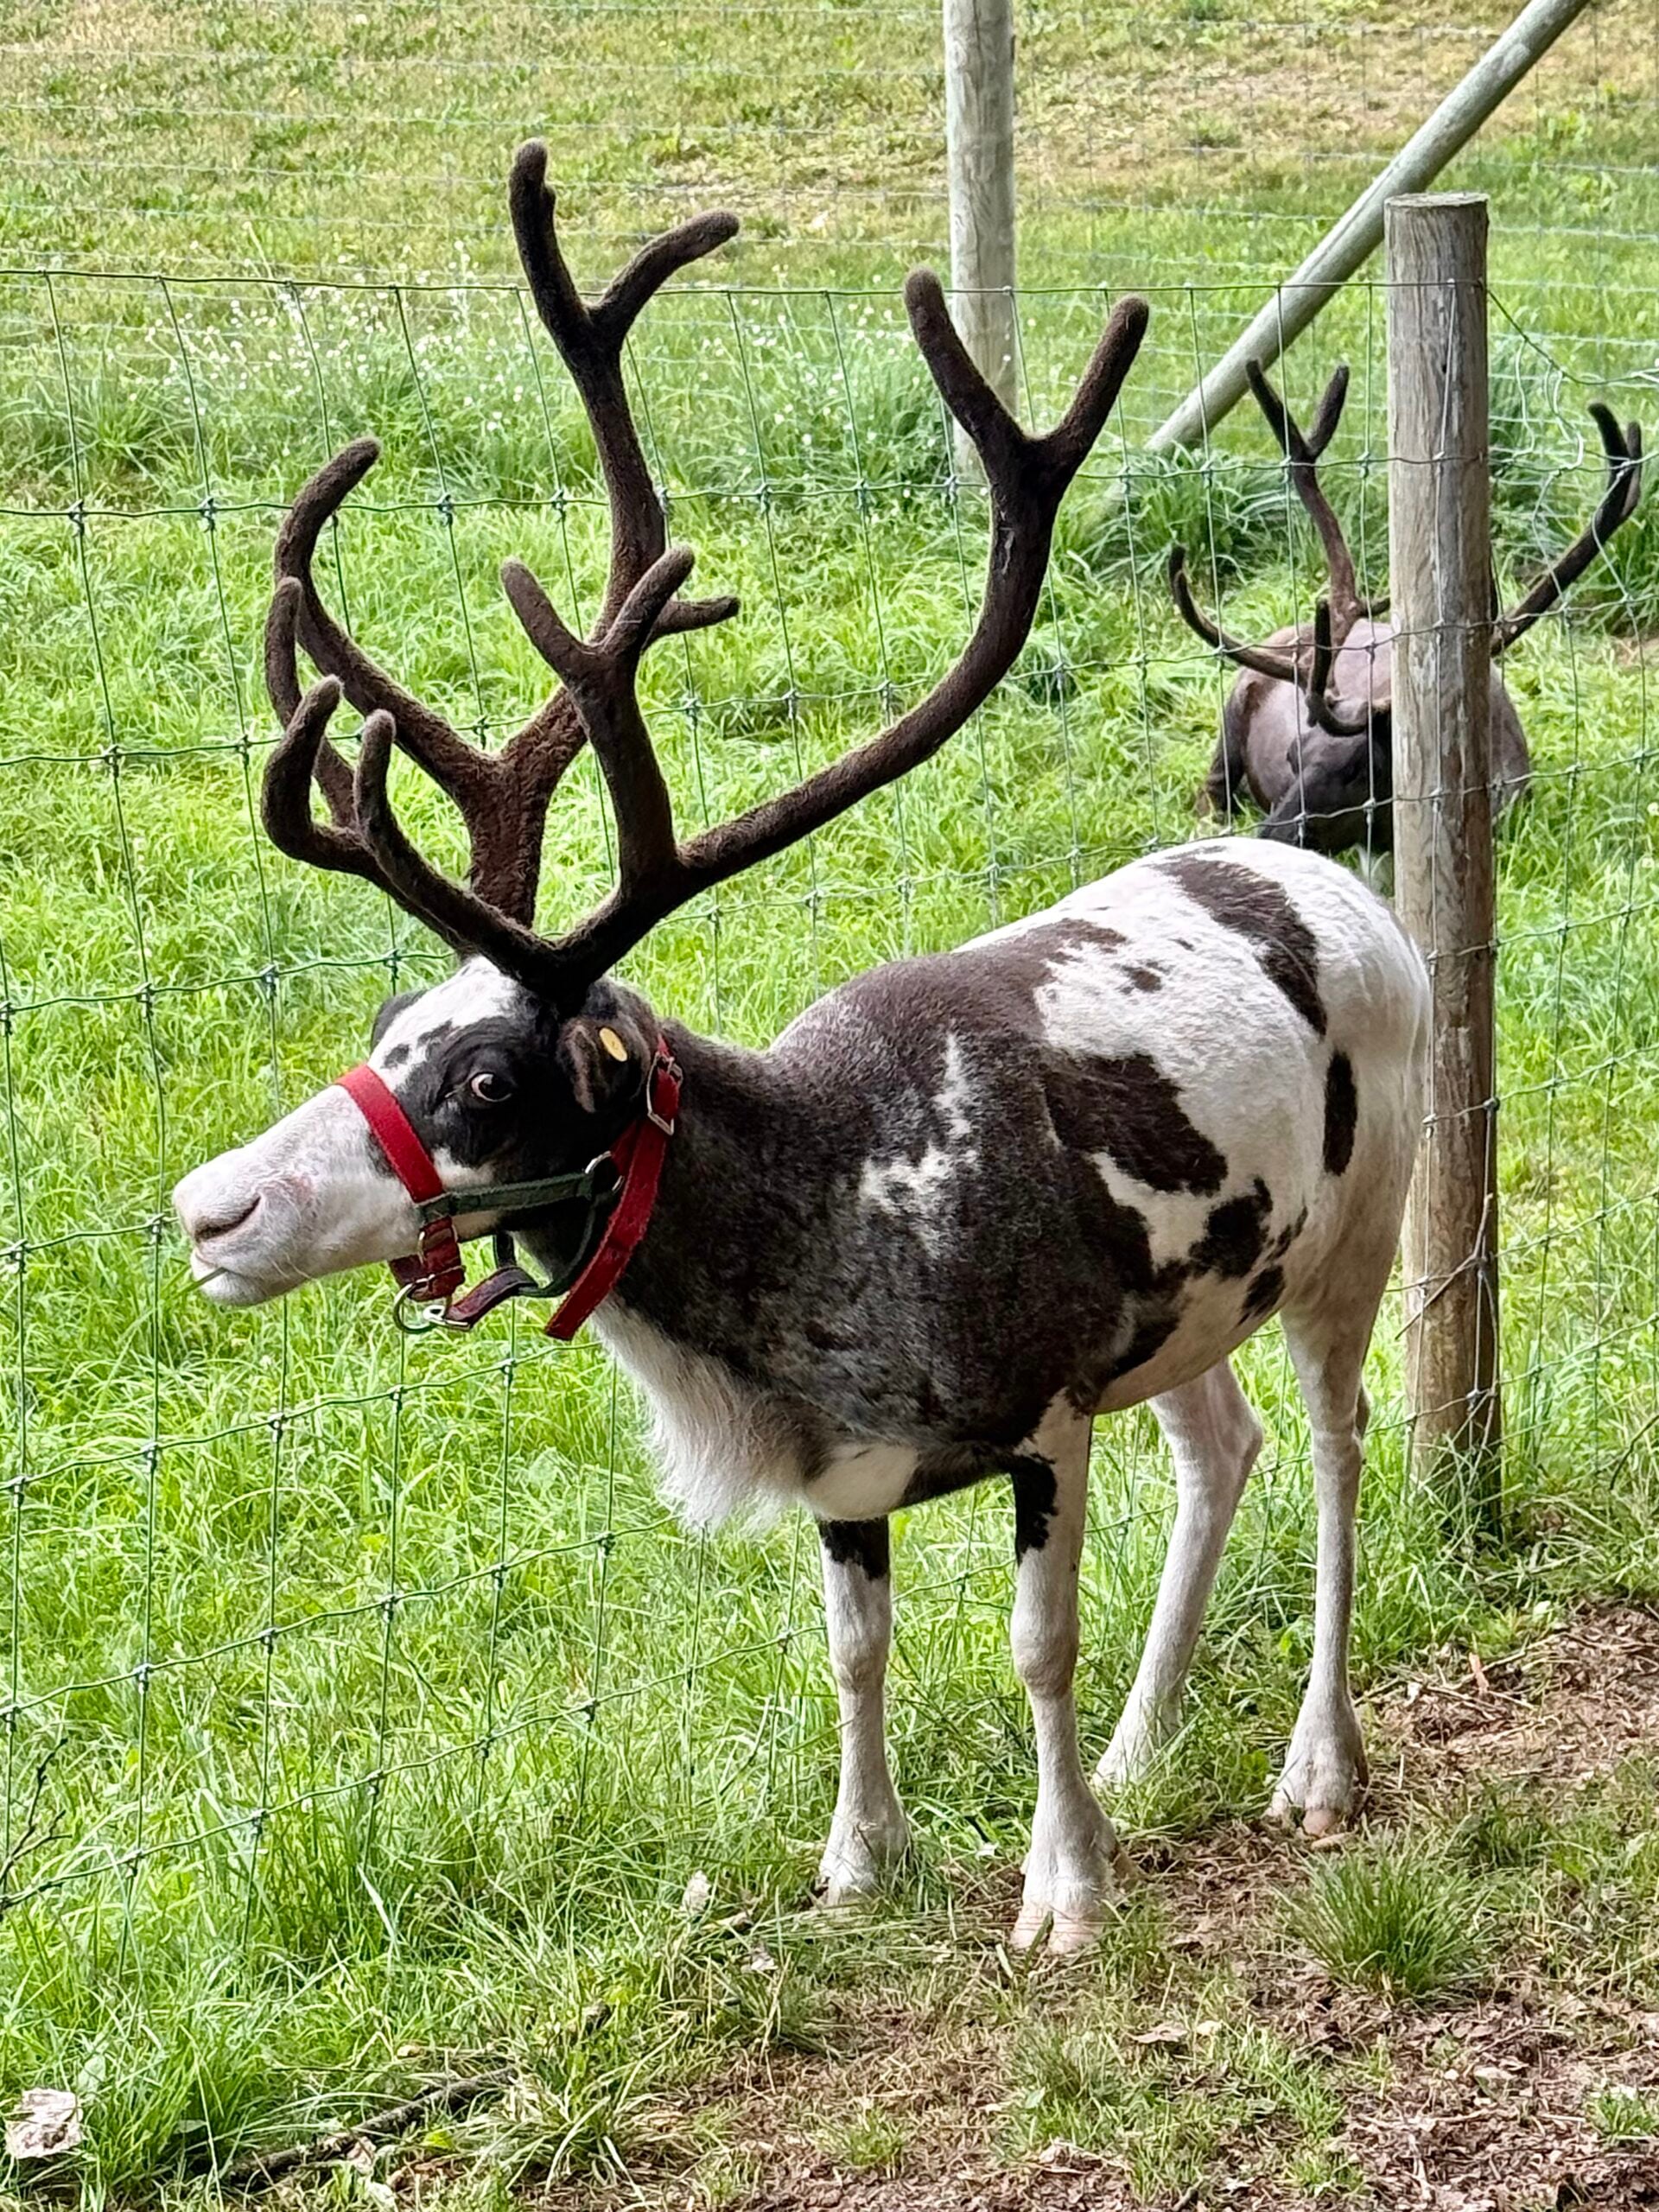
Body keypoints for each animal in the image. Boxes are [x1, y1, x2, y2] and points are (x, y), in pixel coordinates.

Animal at [174, 143, 1431, 1955]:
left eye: (488, 1077)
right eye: (387, 1026)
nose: (209, 1209)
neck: (815, 1261)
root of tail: (1339, 878)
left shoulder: (1043, 1407)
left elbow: (1031, 1647)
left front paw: (1063, 1890)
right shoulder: (858, 1468)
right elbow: (853, 1652)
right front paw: (860, 1860)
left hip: (1357, 1222)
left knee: (1335, 1445)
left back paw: (1314, 1763)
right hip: (1186, 1303)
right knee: (1228, 1445)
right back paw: (1146, 1741)